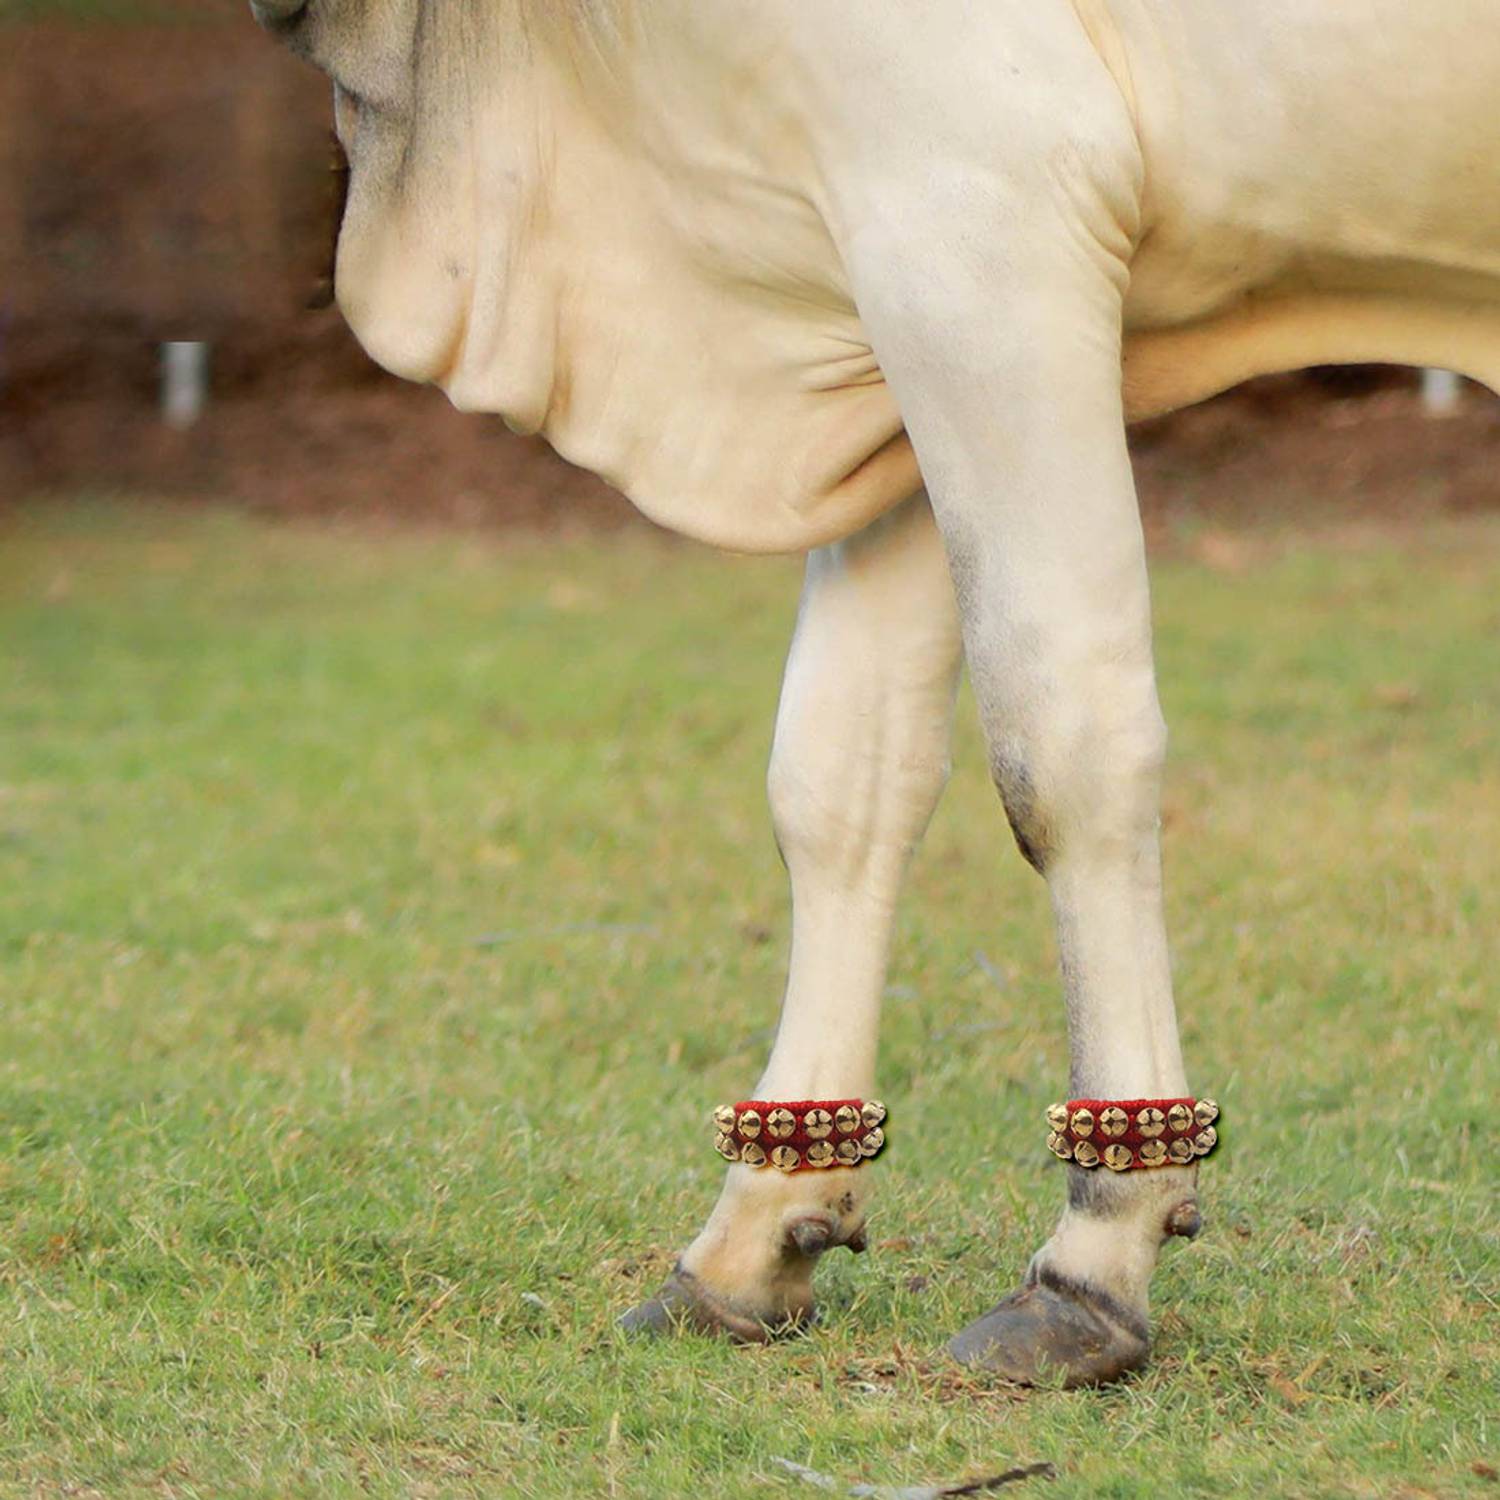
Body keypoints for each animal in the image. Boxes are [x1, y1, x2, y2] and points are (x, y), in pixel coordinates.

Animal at [249, 0, 1499, 1387]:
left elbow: (1062, 735)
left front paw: (1098, 1253)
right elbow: (840, 777)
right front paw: (751, 1238)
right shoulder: (882, 317)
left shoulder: (979, 211)